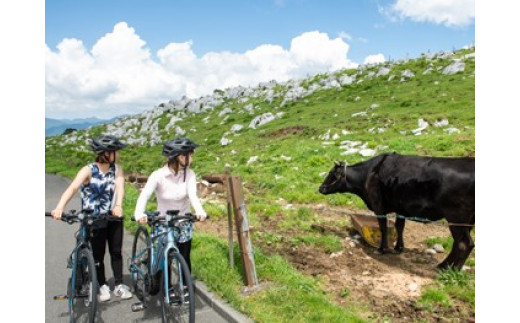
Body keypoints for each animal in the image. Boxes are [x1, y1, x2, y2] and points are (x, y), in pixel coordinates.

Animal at [316, 153, 476, 270]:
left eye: (332, 174)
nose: (320, 188)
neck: (368, 174)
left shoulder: (379, 206)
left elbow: (383, 227)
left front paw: (382, 249)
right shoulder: (401, 208)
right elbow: (400, 227)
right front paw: (399, 247)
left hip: (456, 216)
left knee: (464, 243)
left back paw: (450, 269)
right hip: (468, 220)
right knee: (461, 243)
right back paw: (445, 266)